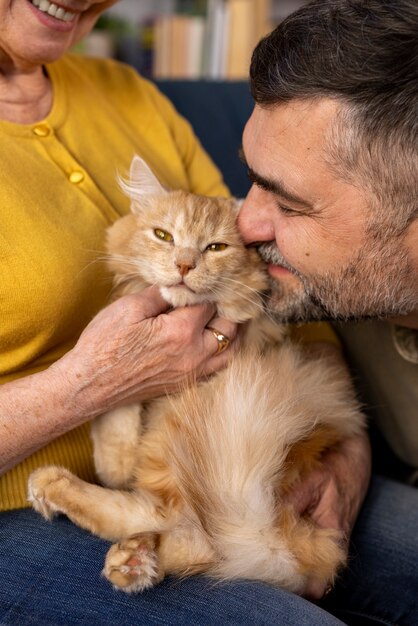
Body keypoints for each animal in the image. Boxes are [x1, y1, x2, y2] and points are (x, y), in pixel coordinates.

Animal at [27, 156, 364, 596]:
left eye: (215, 248)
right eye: (163, 235)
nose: (184, 265)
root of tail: (282, 539)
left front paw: (114, 466)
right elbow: (114, 404)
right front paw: (116, 460)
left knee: (182, 529)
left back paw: (117, 543)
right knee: (174, 526)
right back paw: (131, 554)